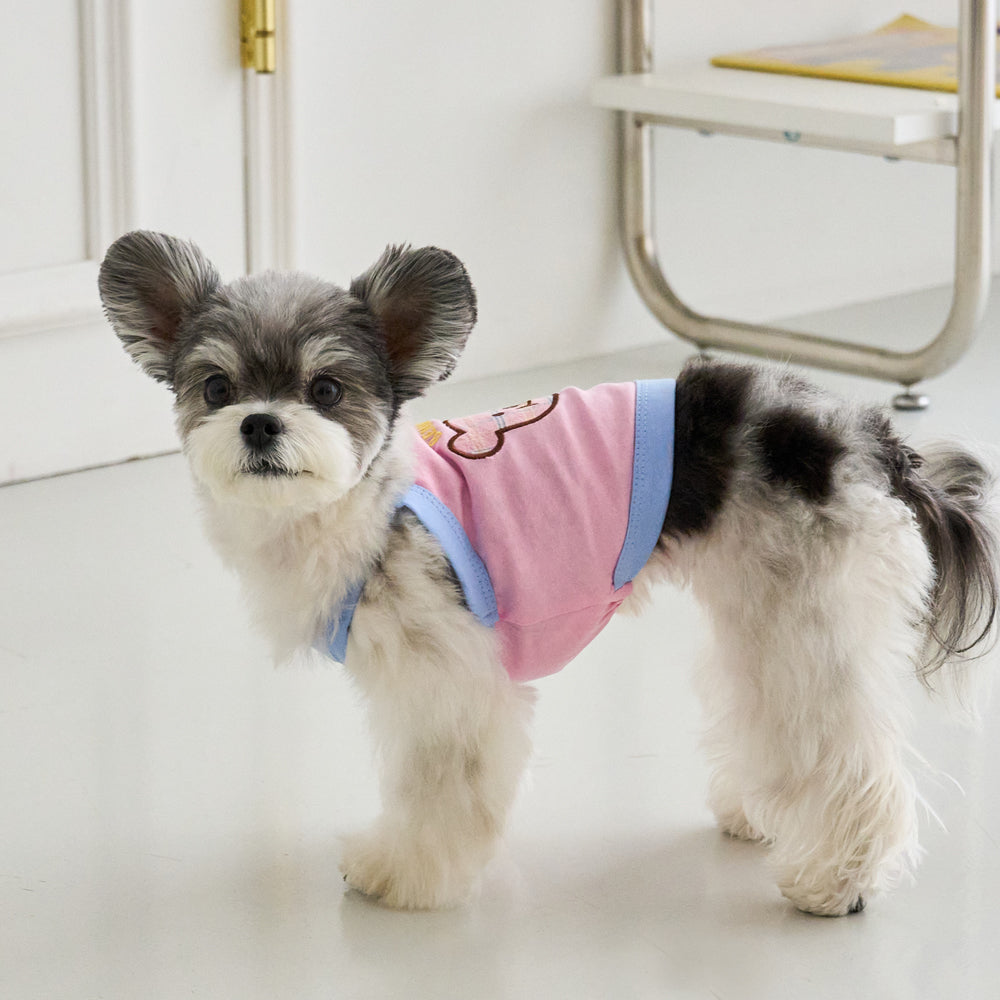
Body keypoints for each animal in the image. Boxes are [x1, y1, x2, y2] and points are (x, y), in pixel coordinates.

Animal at [97, 232, 996, 916]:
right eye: (216, 387)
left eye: (324, 389)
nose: (257, 423)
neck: (370, 507)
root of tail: (874, 440)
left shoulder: (448, 685)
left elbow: (439, 787)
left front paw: (402, 872)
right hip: (763, 611)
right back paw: (764, 815)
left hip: (804, 621)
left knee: (847, 756)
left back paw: (836, 883)